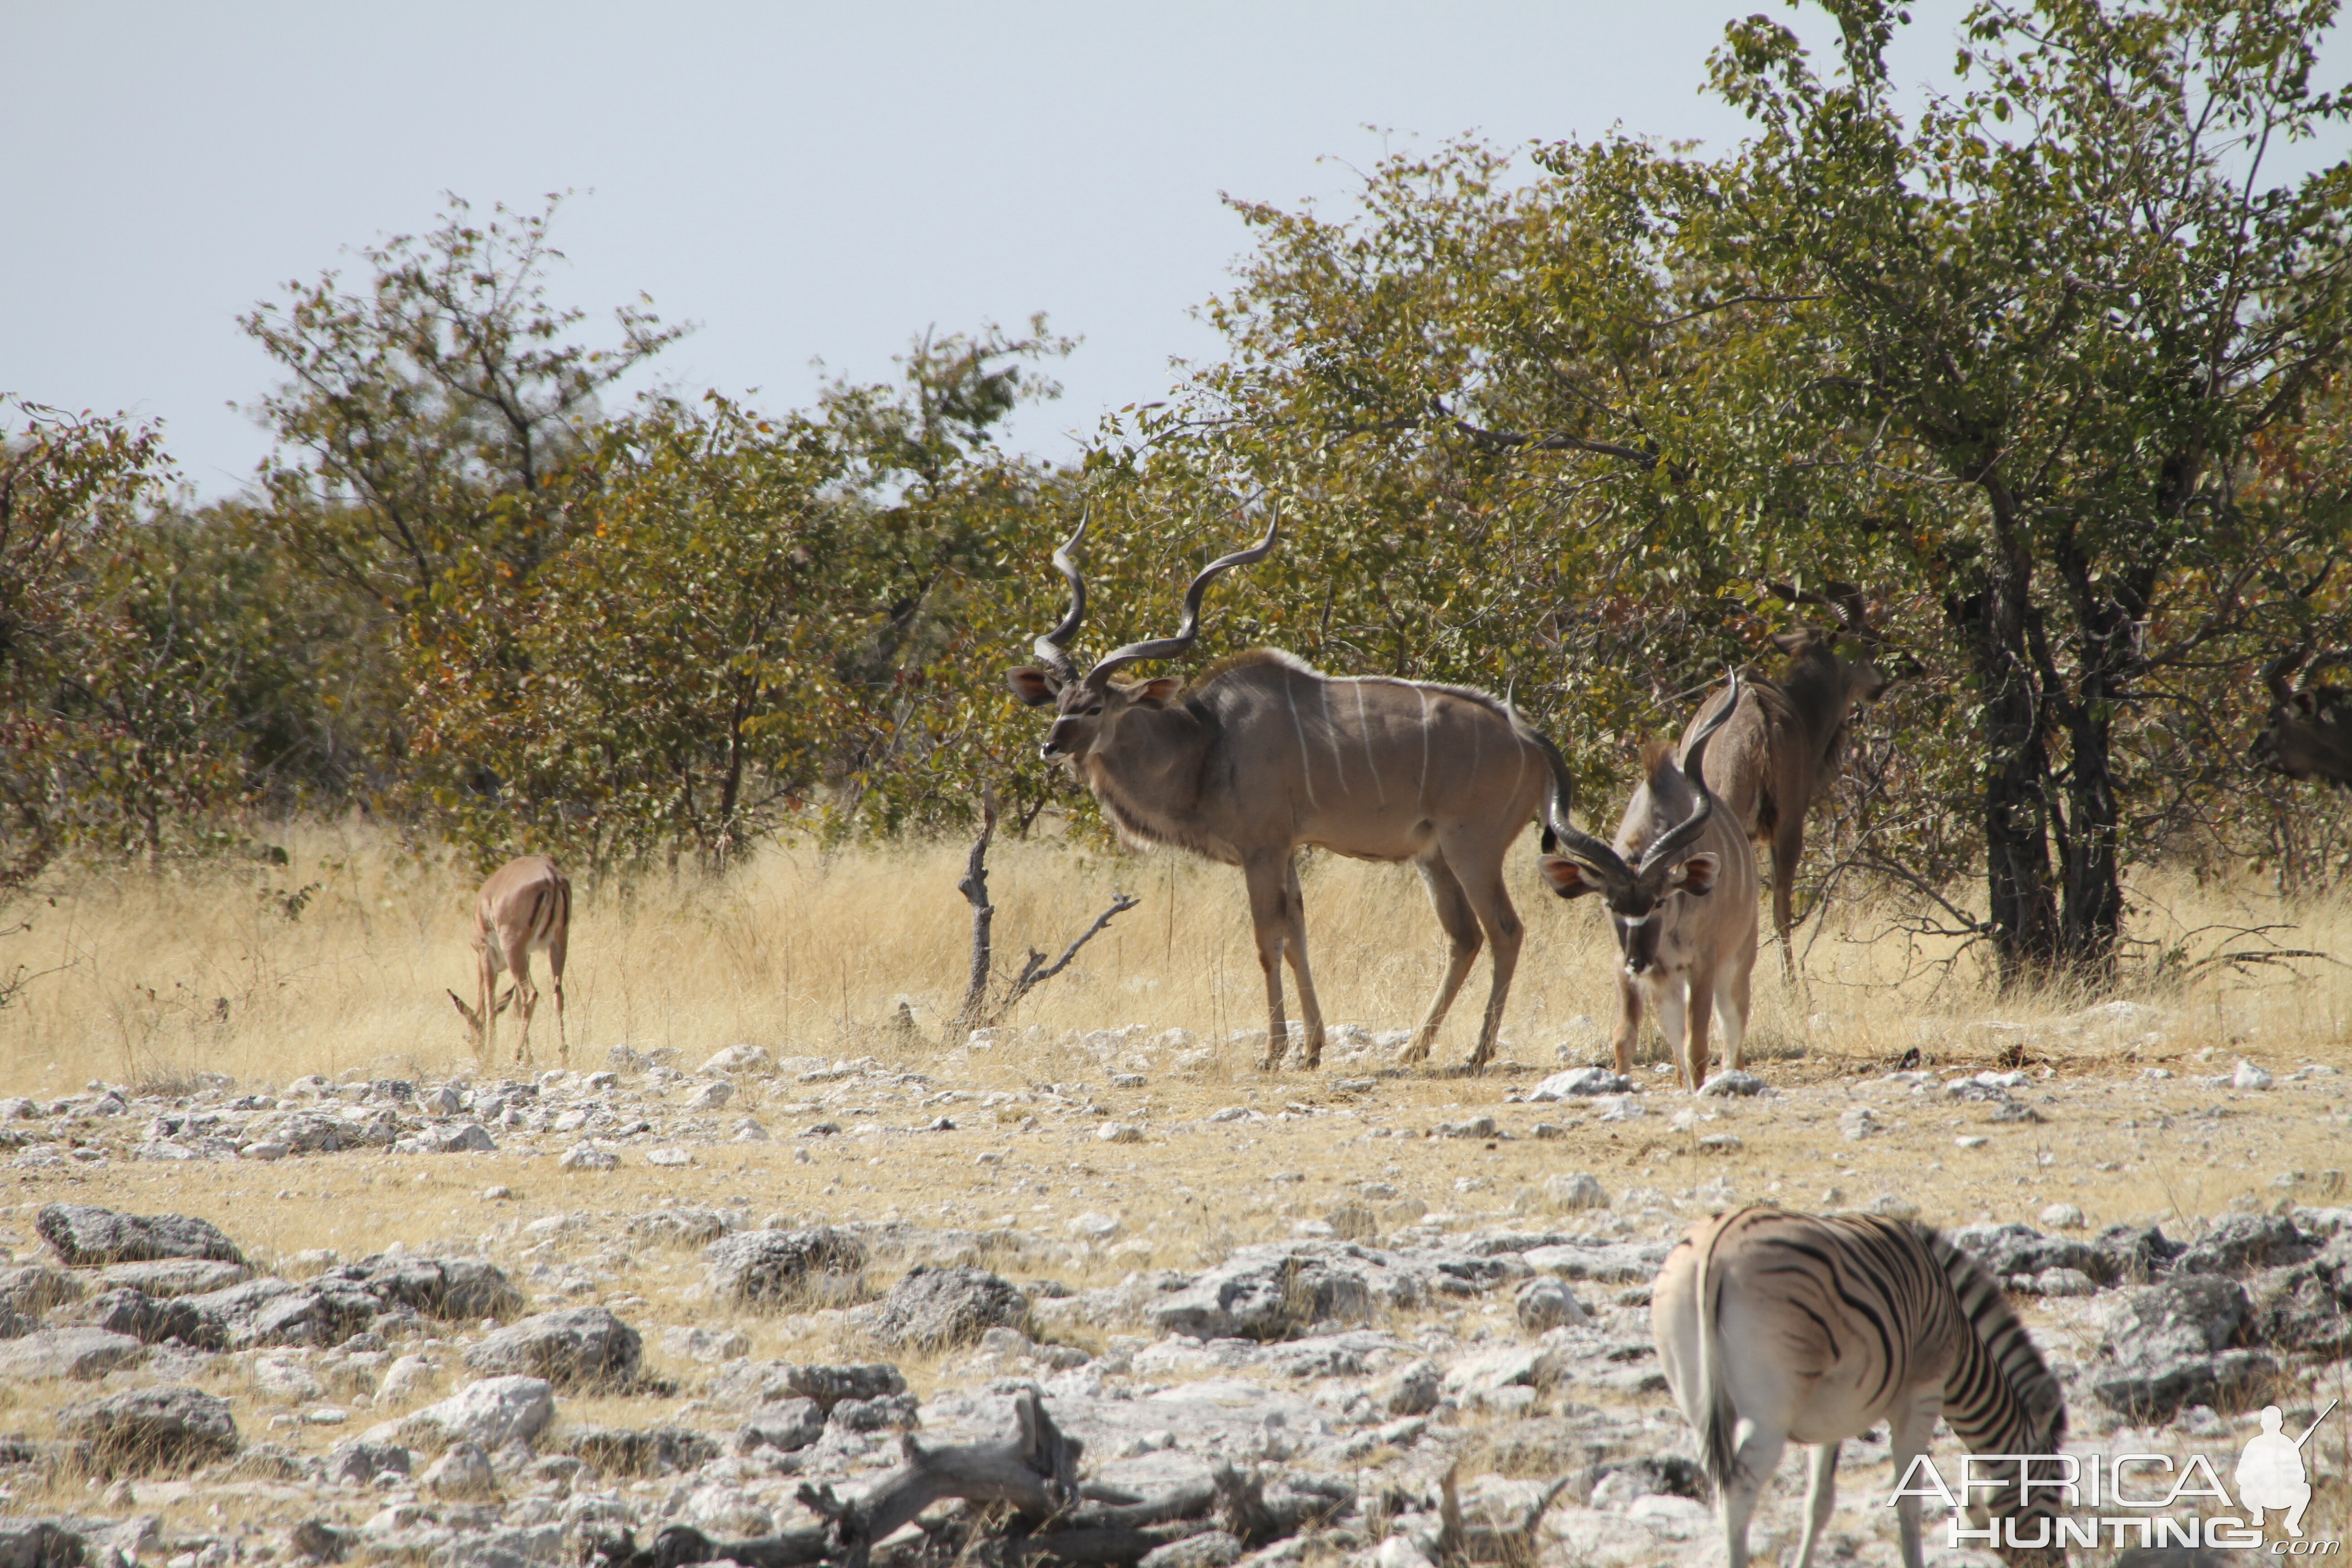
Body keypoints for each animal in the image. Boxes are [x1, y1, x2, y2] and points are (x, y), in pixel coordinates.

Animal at [1002, 512, 1571, 1067]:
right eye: (1060, 704)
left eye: (1096, 707)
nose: (1050, 747)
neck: (1205, 741)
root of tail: (1535, 745)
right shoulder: (1290, 851)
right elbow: (1298, 939)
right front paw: (1313, 1049)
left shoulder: (1263, 850)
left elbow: (1267, 942)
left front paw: (1274, 1052)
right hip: (1433, 855)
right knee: (1465, 937)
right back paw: (1414, 1048)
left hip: (1472, 847)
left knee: (1505, 930)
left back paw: (1478, 1053)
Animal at [1533, 677, 1759, 1091]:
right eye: (1611, 905)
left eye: (1659, 901)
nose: (1638, 961)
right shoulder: (1623, 967)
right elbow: (1625, 1038)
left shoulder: (1702, 964)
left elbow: (1698, 1045)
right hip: (1666, 983)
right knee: (1678, 1041)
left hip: (1736, 962)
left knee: (1731, 1032)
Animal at [1646, 1213, 2069, 1568]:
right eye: (2054, 1489)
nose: (2057, 1564)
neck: (1957, 1334)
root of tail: (1717, 1246)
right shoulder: (1923, 1396)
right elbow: (1908, 1499)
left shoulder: (1832, 1418)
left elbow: (1819, 1504)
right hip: (1768, 1415)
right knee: (1738, 1494)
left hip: (1699, 1405)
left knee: (1720, 1489)